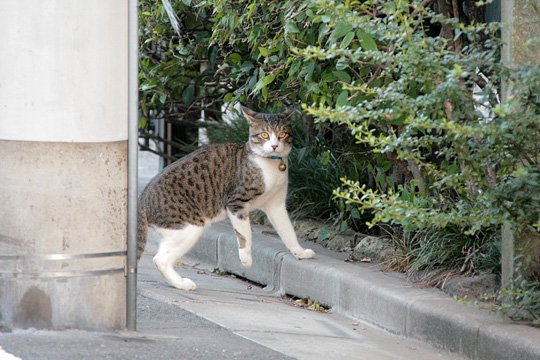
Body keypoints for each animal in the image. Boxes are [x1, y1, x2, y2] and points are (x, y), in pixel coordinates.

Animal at [137, 105, 316, 290]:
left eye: (282, 134)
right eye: (264, 135)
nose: (274, 146)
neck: (271, 166)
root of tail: (142, 198)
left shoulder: (276, 205)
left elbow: (288, 231)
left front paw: (300, 252)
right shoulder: (236, 202)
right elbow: (245, 234)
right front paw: (246, 259)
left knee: (161, 256)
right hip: (189, 226)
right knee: (160, 259)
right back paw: (183, 284)